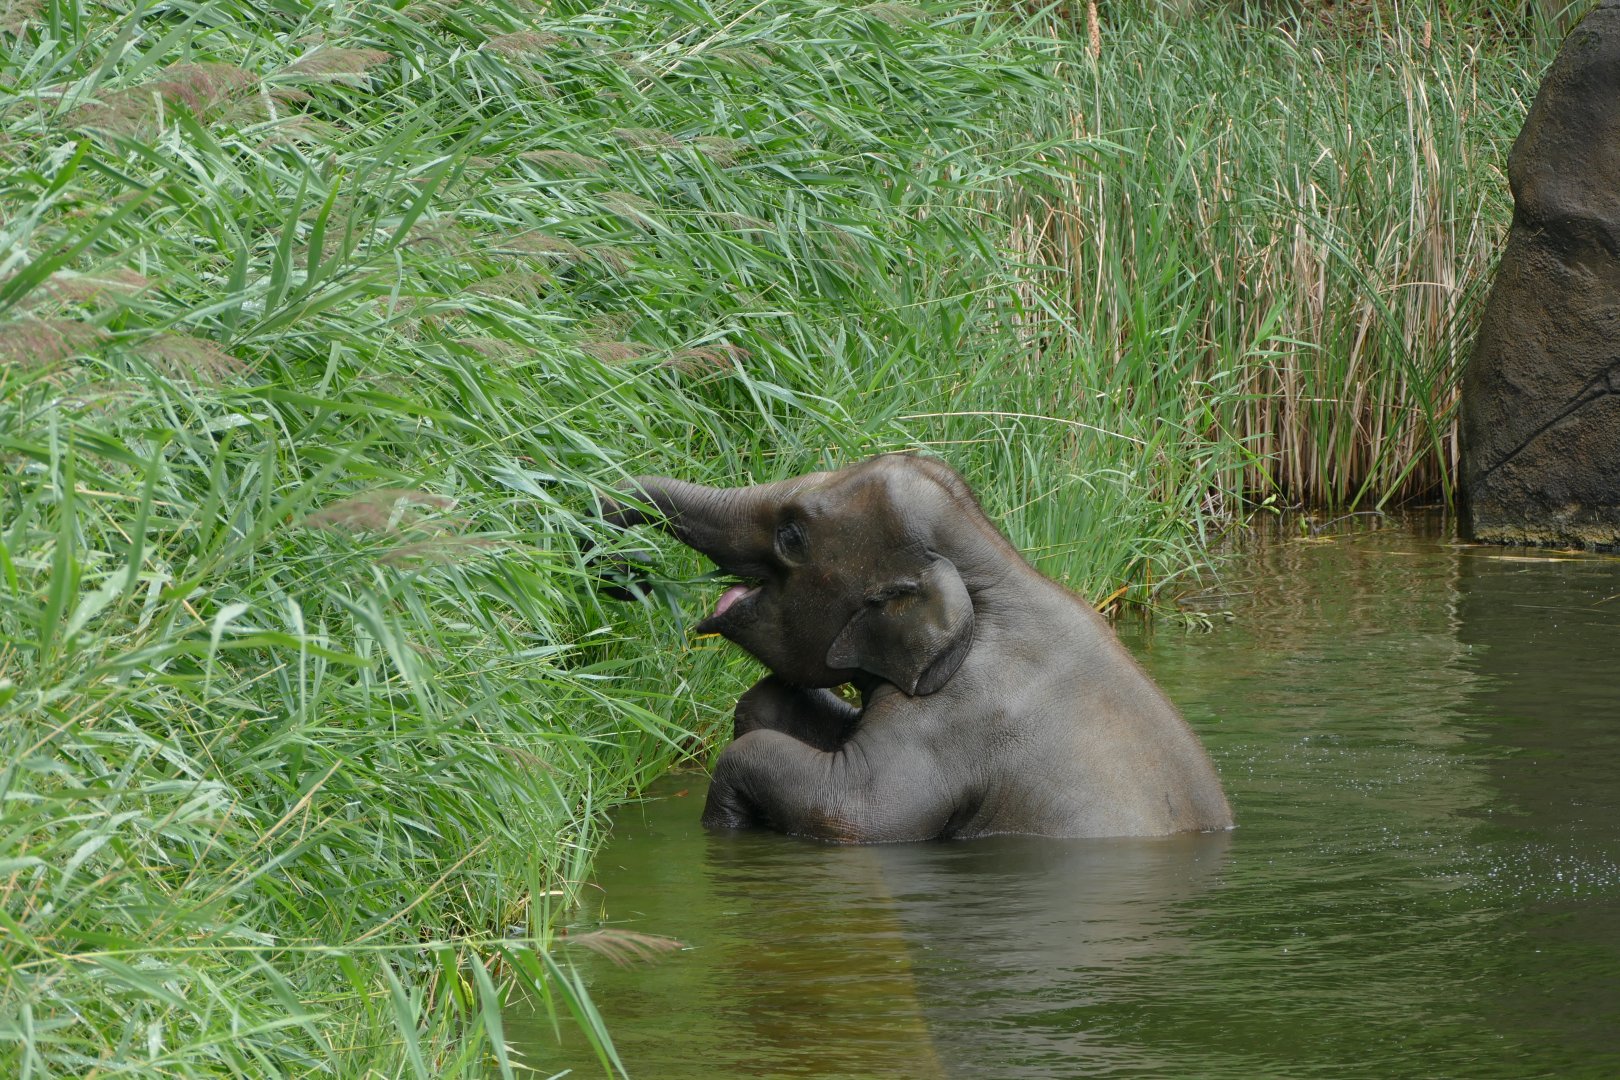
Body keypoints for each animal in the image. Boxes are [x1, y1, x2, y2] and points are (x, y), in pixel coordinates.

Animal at [601, 453, 1233, 842]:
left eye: (792, 535)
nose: (622, 569)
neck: (996, 567)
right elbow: (770, 705)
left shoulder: (956, 722)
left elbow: (853, 812)